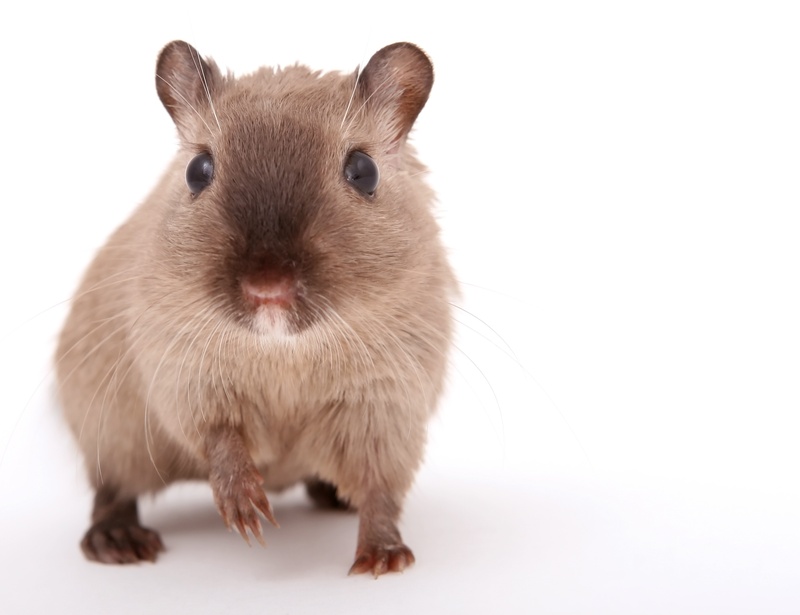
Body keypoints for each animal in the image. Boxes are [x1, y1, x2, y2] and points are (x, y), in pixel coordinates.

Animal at [55, 40, 455, 577]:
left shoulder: (387, 401)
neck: (283, 347)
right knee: (112, 490)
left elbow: (380, 487)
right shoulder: (184, 374)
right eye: (197, 171)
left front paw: (384, 559)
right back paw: (119, 542)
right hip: (112, 435)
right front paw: (246, 513)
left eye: (364, 172)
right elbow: (221, 438)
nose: (268, 287)